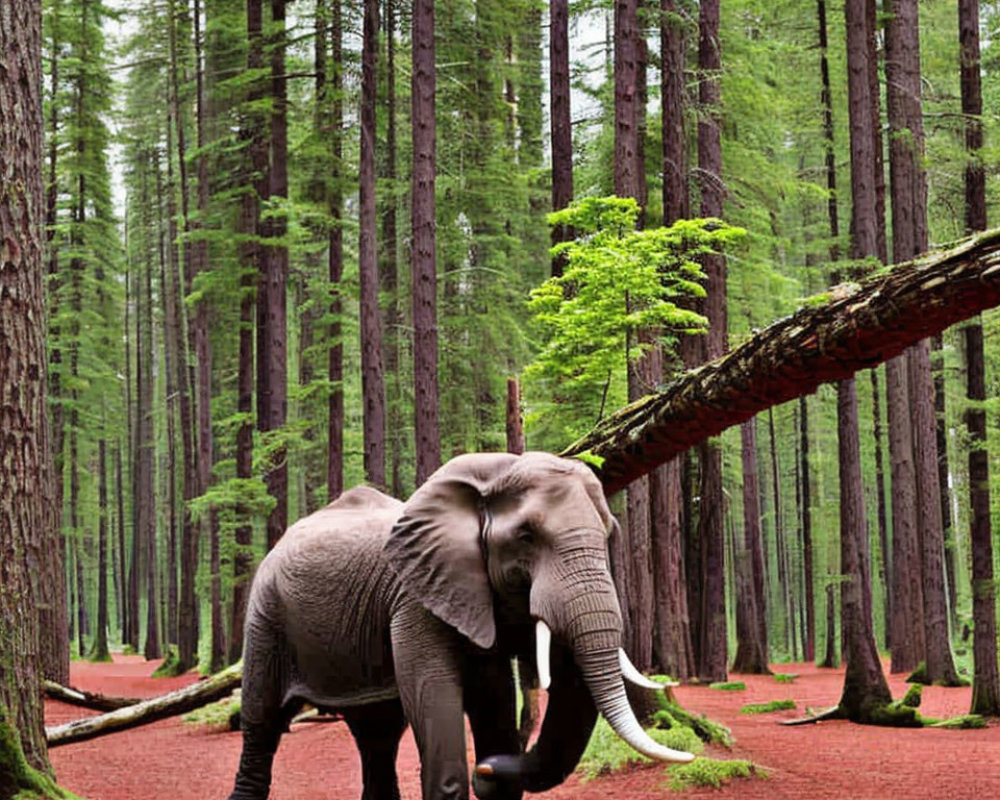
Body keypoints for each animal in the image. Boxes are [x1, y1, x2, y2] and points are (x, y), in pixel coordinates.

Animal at [227, 450, 696, 800]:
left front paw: (494, 768)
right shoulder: (415, 596)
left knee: (377, 736)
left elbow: (493, 698)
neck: (488, 478)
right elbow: (438, 701)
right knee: (261, 729)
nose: (484, 770)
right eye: (526, 537)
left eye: (608, 534)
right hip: (266, 615)